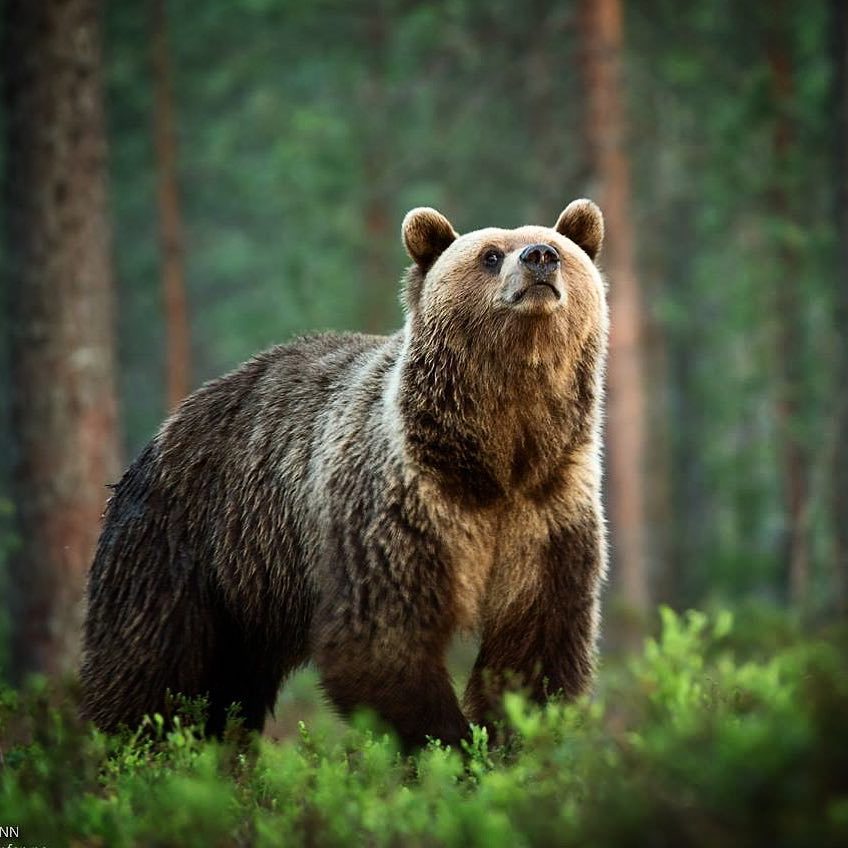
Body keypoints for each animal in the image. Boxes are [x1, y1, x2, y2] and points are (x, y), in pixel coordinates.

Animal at [79, 199, 608, 748]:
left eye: (560, 250)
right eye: (489, 255)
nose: (539, 257)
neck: (494, 458)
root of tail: (166, 430)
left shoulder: (548, 513)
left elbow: (537, 642)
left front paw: (510, 738)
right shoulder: (397, 509)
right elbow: (381, 636)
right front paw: (451, 742)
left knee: (230, 690)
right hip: (184, 544)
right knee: (150, 663)